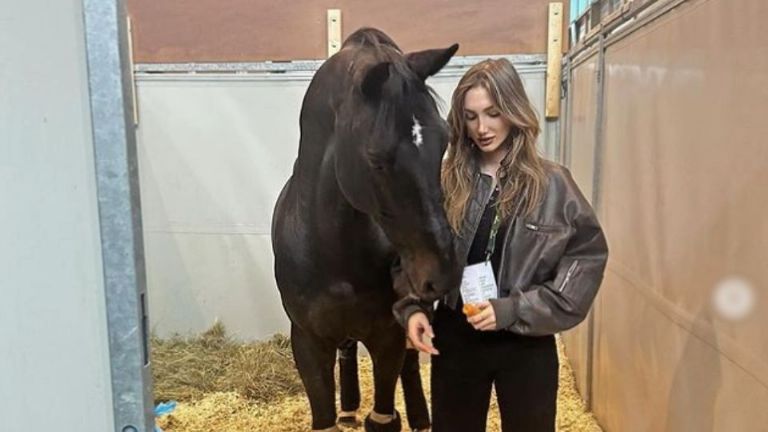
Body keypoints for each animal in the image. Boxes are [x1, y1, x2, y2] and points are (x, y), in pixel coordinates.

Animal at [271, 28, 461, 432]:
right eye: (377, 158)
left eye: (444, 141)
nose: (442, 273)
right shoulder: (307, 342)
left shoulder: (387, 336)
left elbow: (385, 411)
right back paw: (348, 408)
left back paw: (420, 416)